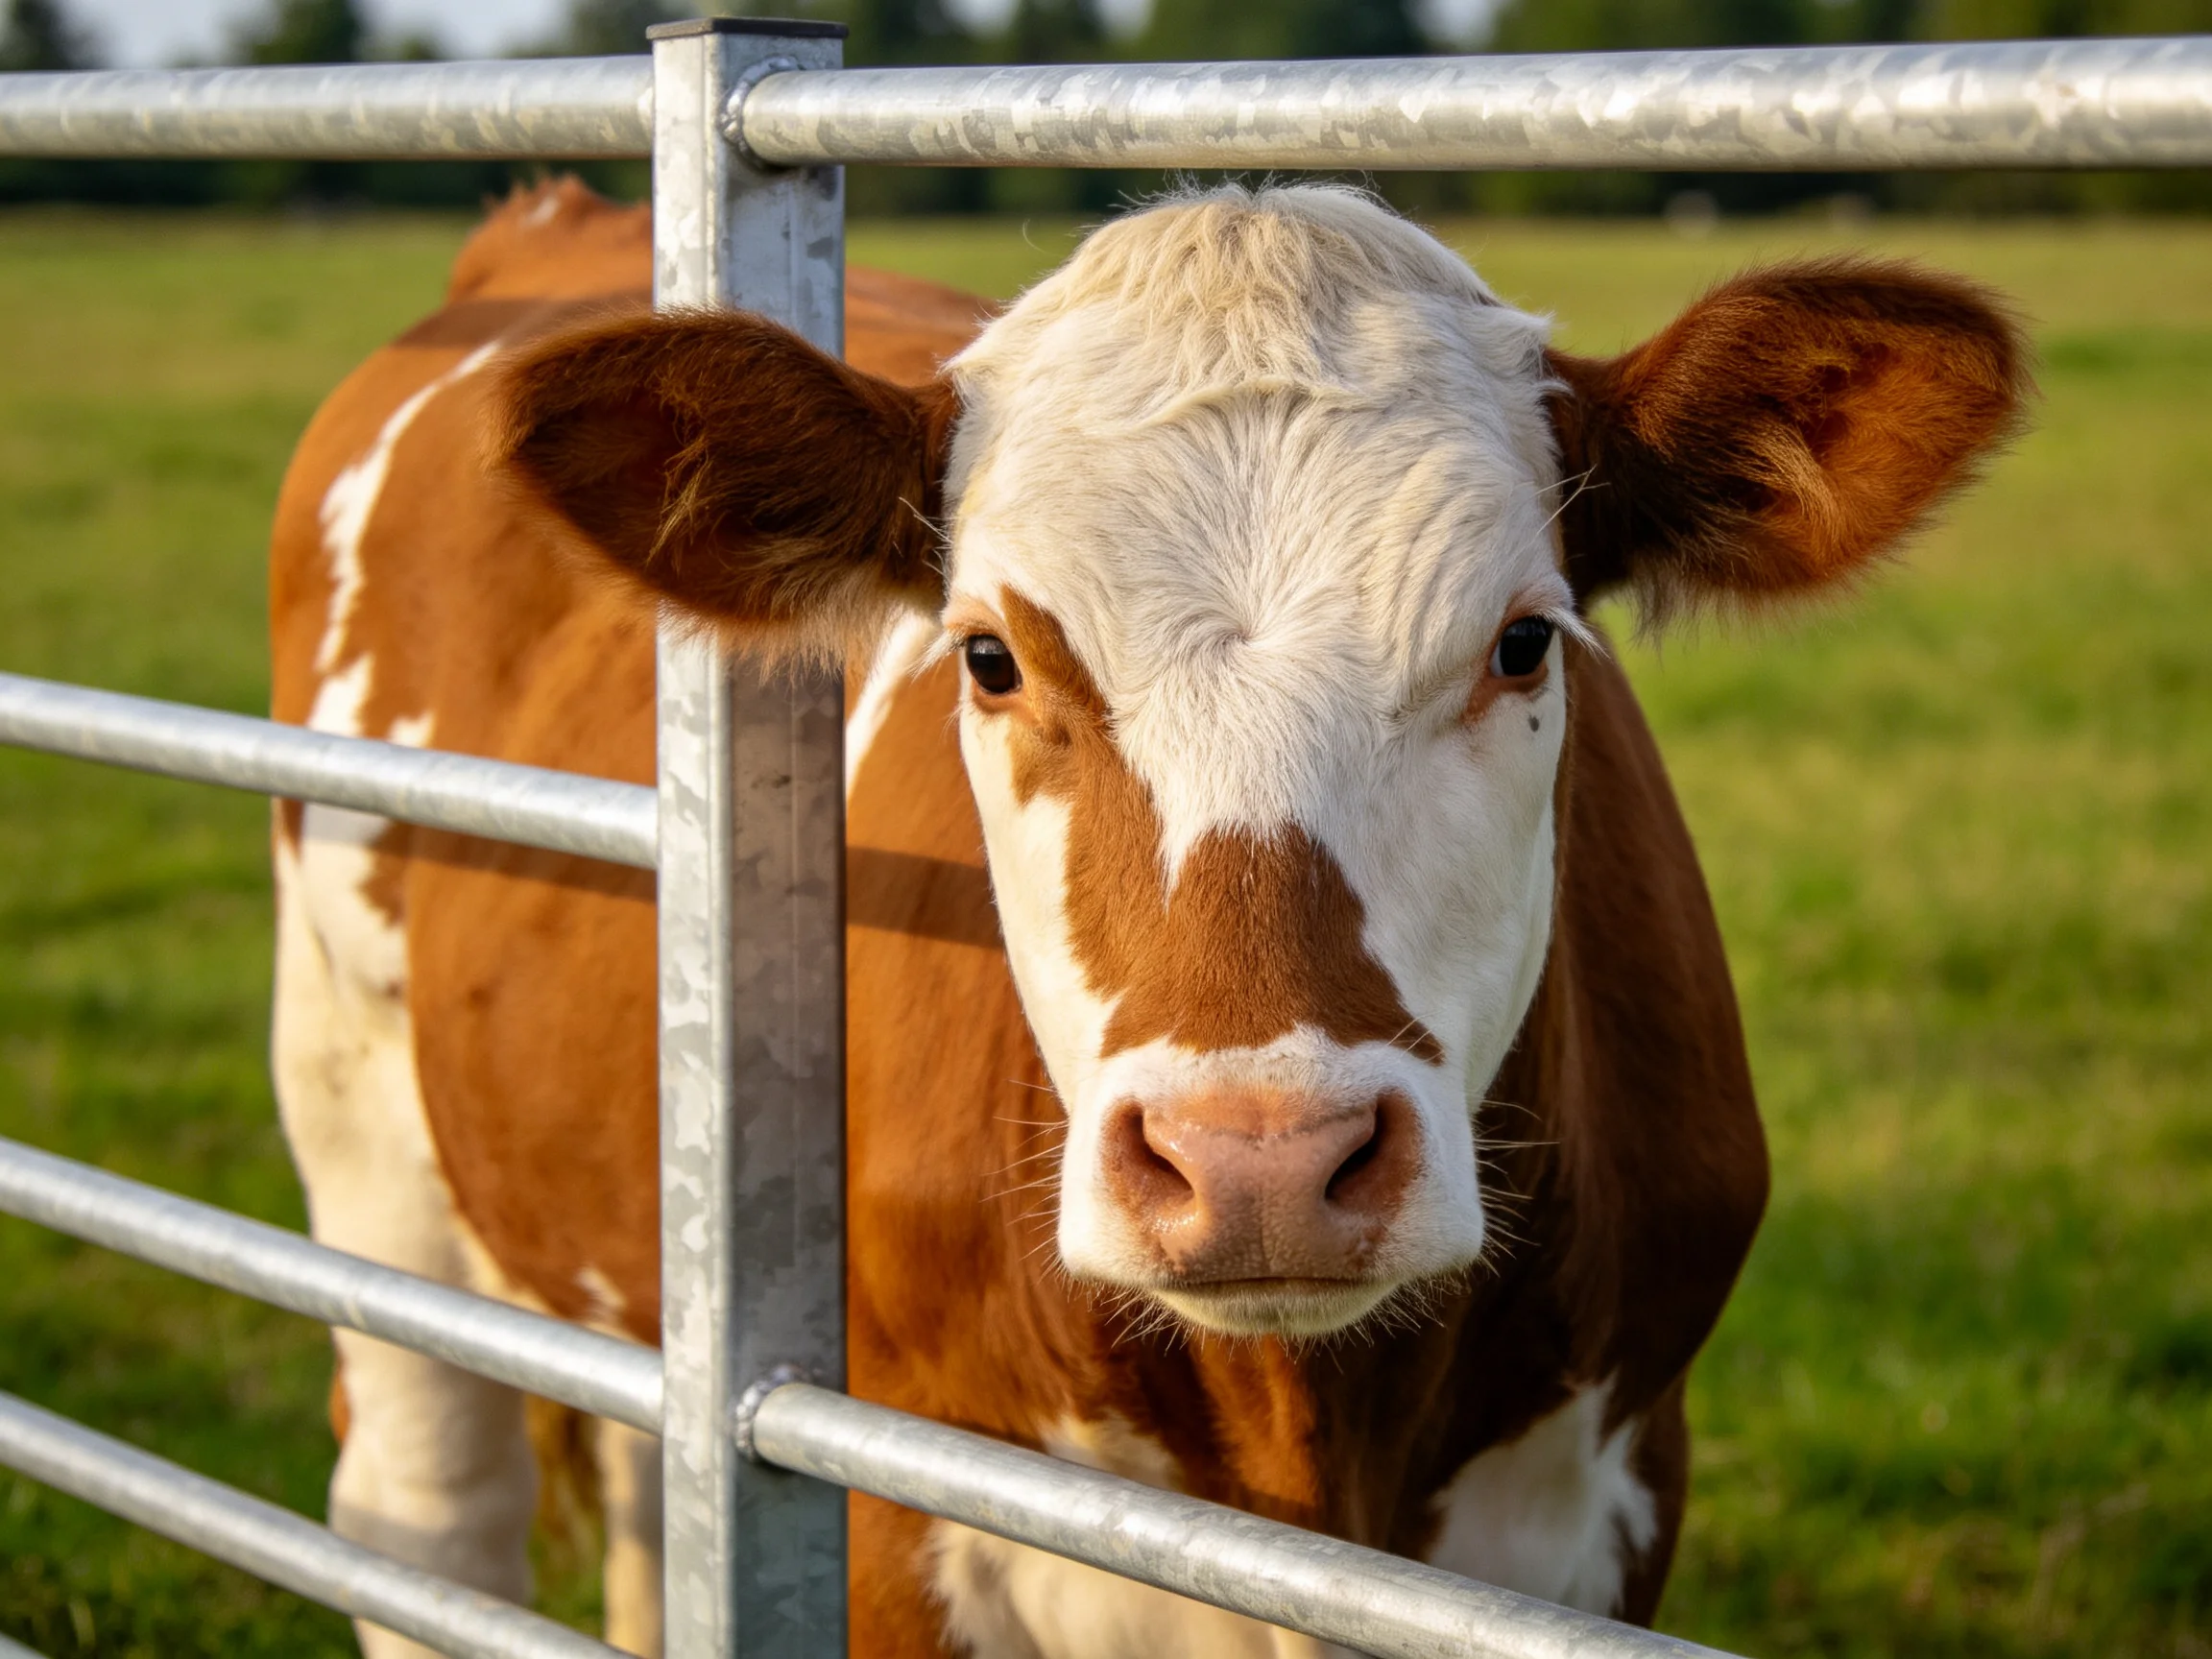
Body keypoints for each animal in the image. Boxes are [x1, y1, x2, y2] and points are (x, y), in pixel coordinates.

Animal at [269, 177, 2026, 1658]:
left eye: (1523, 640)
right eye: (989, 654)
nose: (1260, 1162)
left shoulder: (1606, 1488)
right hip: (354, 1109)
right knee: (427, 1506)